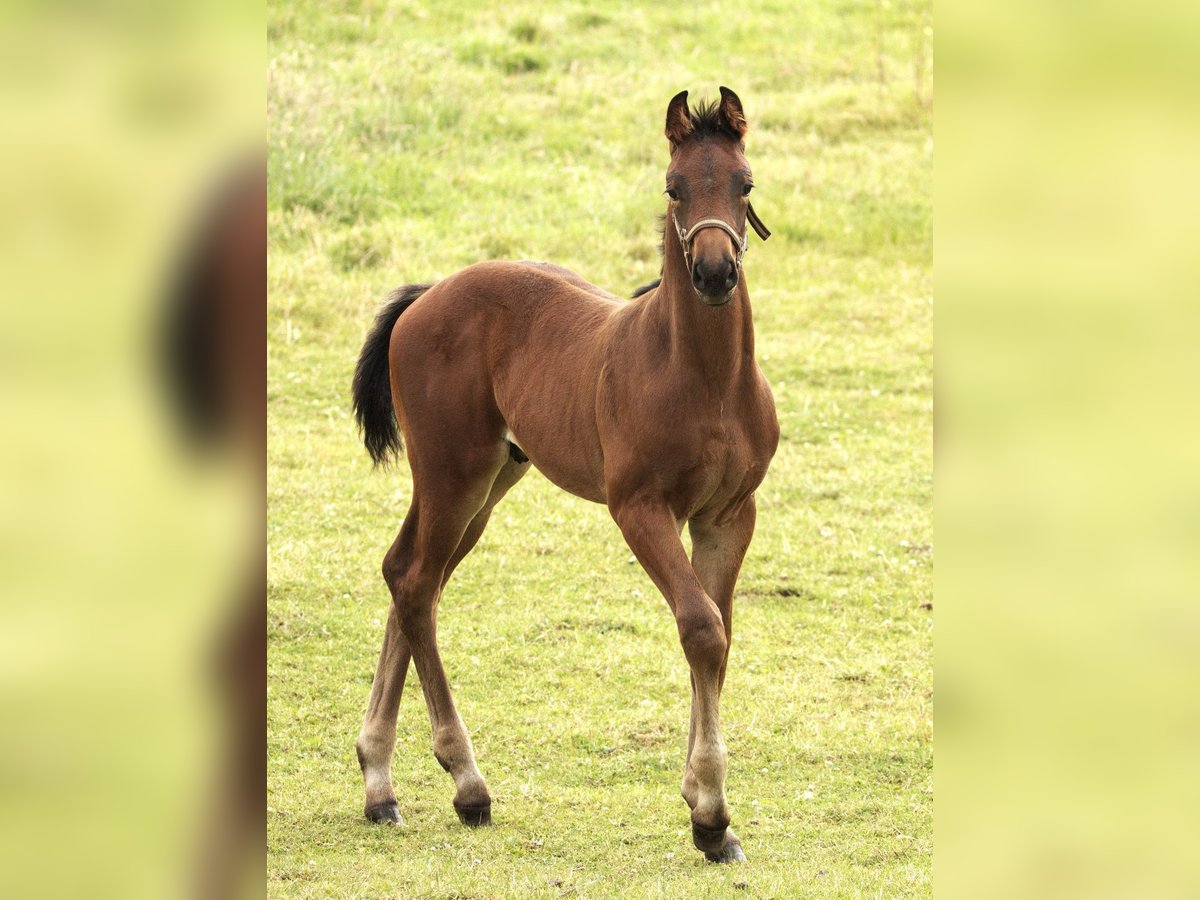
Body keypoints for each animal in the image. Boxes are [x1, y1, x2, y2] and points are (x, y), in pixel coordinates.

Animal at [350, 88, 777, 864]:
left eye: (745, 183)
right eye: (673, 187)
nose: (713, 274)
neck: (703, 380)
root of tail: (426, 296)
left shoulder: (731, 512)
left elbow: (720, 632)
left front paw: (705, 810)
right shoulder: (638, 508)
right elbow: (701, 626)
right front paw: (709, 814)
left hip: (488, 481)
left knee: (403, 572)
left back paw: (379, 786)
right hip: (454, 472)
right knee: (418, 585)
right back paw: (468, 784)